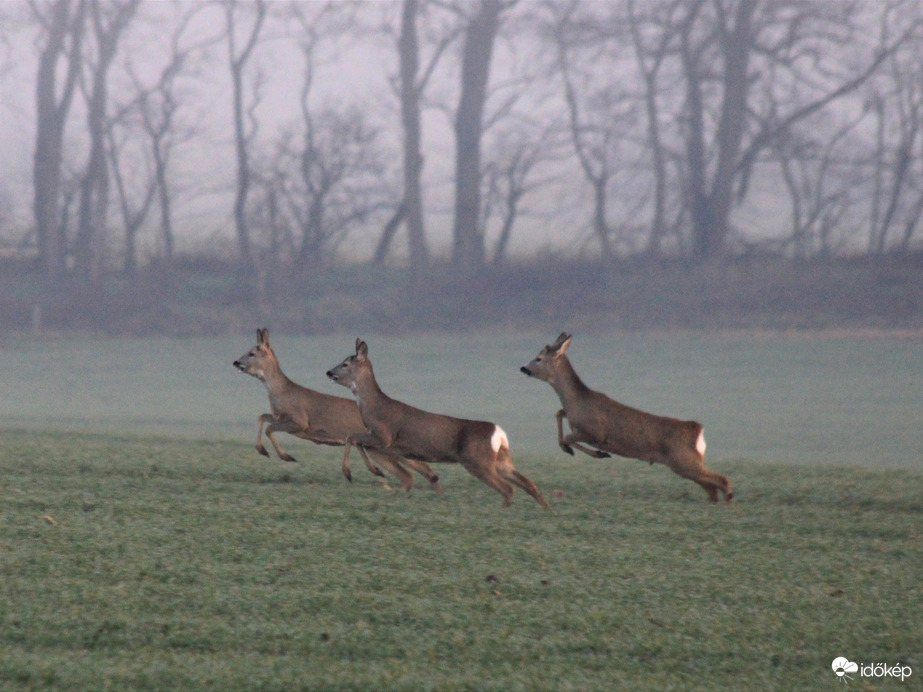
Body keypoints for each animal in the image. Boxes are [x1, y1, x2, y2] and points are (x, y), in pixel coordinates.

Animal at [235, 328, 444, 494]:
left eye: (251, 353)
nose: (235, 362)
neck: (280, 392)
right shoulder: (280, 416)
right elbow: (262, 417)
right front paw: (263, 450)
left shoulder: (299, 420)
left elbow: (269, 427)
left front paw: (285, 456)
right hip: (380, 448)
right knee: (413, 474)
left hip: (386, 447)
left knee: (419, 470)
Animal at [326, 340, 548, 508]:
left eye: (345, 364)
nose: (329, 372)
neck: (372, 407)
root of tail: (499, 433)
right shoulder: (380, 439)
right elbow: (356, 440)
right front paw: (374, 471)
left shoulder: (384, 435)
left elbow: (351, 437)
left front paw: (350, 473)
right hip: (501, 460)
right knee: (529, 484)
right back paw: (547, 512)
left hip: (477, 460)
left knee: (508, 489)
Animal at [524, 332, 732, 500]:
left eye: (539, 358)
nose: (523, 368)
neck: (576, 401)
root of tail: (698, 432)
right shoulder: (576, 422)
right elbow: (559, 414)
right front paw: (590, 452)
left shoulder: (594, 432)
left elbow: (567, 437)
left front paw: (592, 452)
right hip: (687, 465)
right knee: (712, 486)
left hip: (684, 462)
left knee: (722, 480)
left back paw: (728, 499)